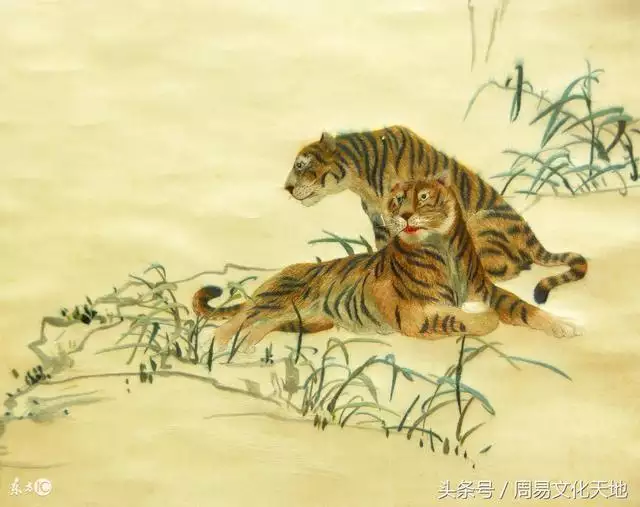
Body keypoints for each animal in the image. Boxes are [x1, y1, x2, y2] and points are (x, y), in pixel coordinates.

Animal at [193, 176, 579, 353]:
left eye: (423, 197)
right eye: (396, 199)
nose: (403, 214)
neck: (441, 246)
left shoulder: (488, 289)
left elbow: (524, 308)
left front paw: (564, 326)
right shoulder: (416, 311)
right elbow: (473, 319)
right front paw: (480, 316)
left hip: (304, 319)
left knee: (258, 323)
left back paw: (244, 345)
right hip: (279, 300)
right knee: (243, 316)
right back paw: (219, 341)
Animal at [283, 125, 588, 304]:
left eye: (301, 165)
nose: (286, 188)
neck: (358, 177)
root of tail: (529, 233)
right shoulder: (378, 217)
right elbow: (383, 249)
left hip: (479, 224)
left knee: (511, 266)